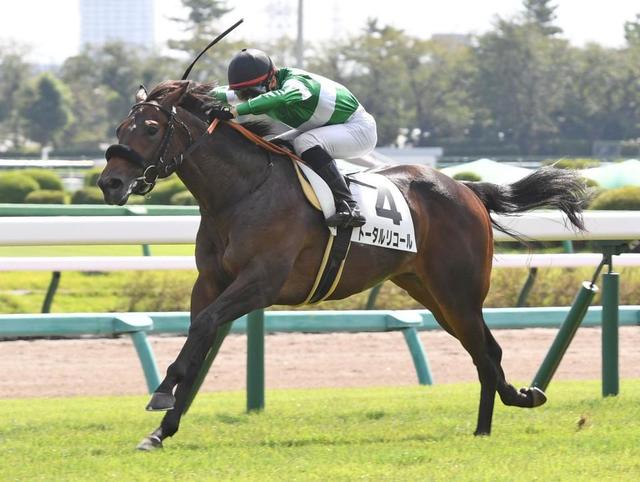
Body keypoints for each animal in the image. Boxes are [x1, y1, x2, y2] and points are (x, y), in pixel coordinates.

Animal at [98, 80, 588, 450]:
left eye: (151, 128)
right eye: (122, 126)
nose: (110, 182)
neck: (242, 193)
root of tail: (467, 189)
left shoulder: (261, 281)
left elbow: (202, 331)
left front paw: (161, 394)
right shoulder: (210, 283)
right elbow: (199, 339)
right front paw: (160, 431)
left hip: (459, 290)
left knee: (485, 351)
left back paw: (495, 419)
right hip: (430, 292)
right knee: (485, 350)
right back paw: (508, 408)